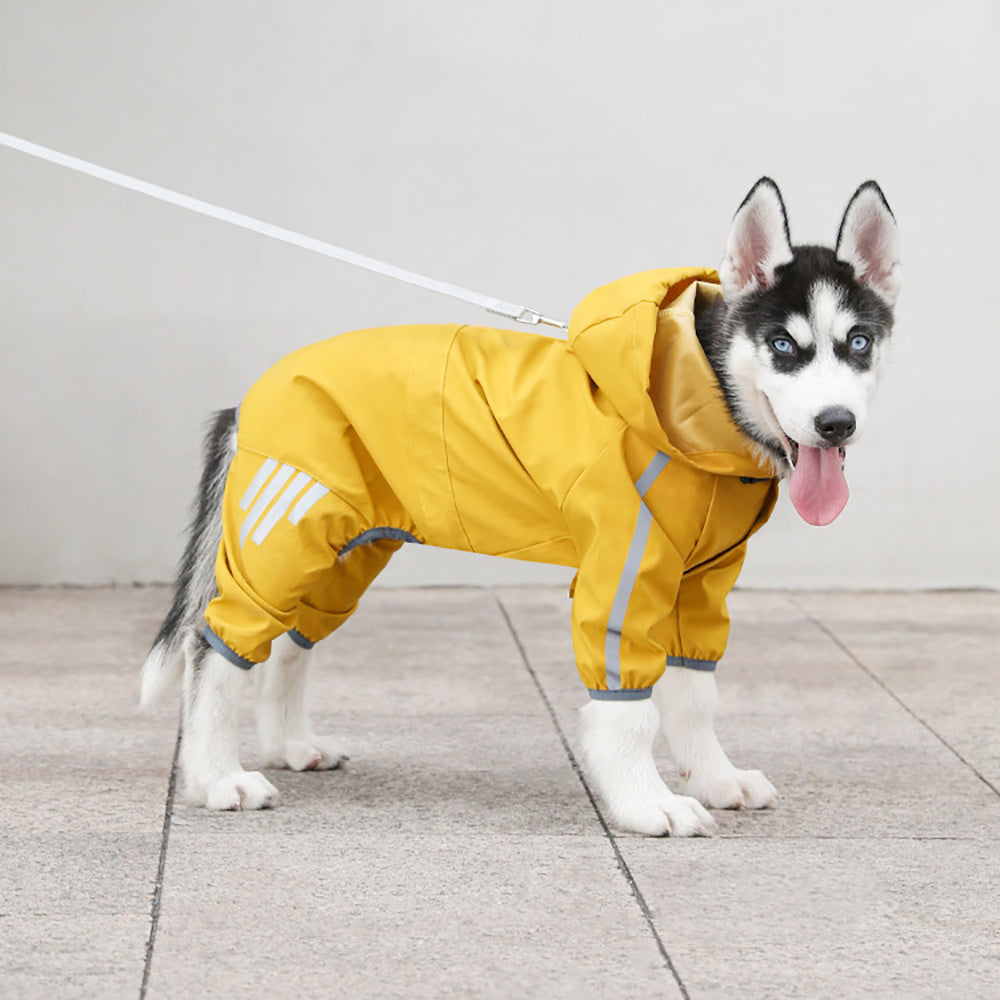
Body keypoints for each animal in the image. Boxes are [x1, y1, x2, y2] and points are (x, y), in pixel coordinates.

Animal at [145, 180, 904, 836]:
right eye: (782, 345)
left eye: (859, 343)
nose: (836, 424)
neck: (702, 404)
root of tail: (250, 395)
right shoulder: (621, 575)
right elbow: (631, 712)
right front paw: (645, 802)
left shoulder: (701, 585)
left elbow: (694, 695)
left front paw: (715, 778)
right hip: (282, 535)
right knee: (213, 644)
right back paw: (216, 777)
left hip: (344, 551)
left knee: (289, 644)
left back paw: (289, 746)